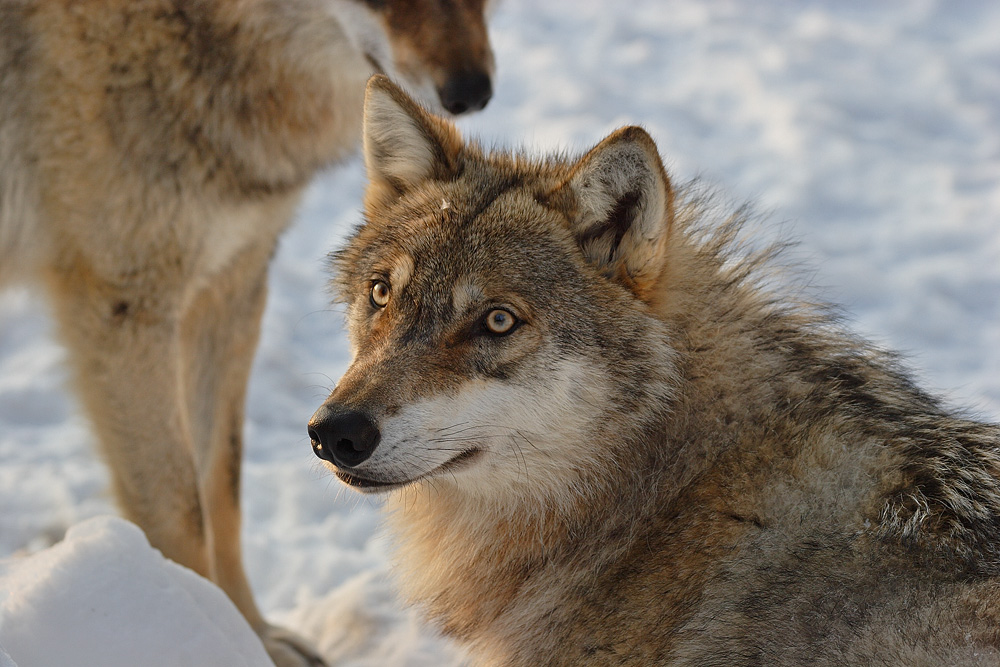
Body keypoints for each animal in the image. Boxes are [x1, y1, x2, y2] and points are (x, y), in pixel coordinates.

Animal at [0, 2, 496, 664]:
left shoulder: (233, 281)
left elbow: (222, 490)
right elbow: (181, 511)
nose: (472, 92)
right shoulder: (125, 305)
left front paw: (252, 637)